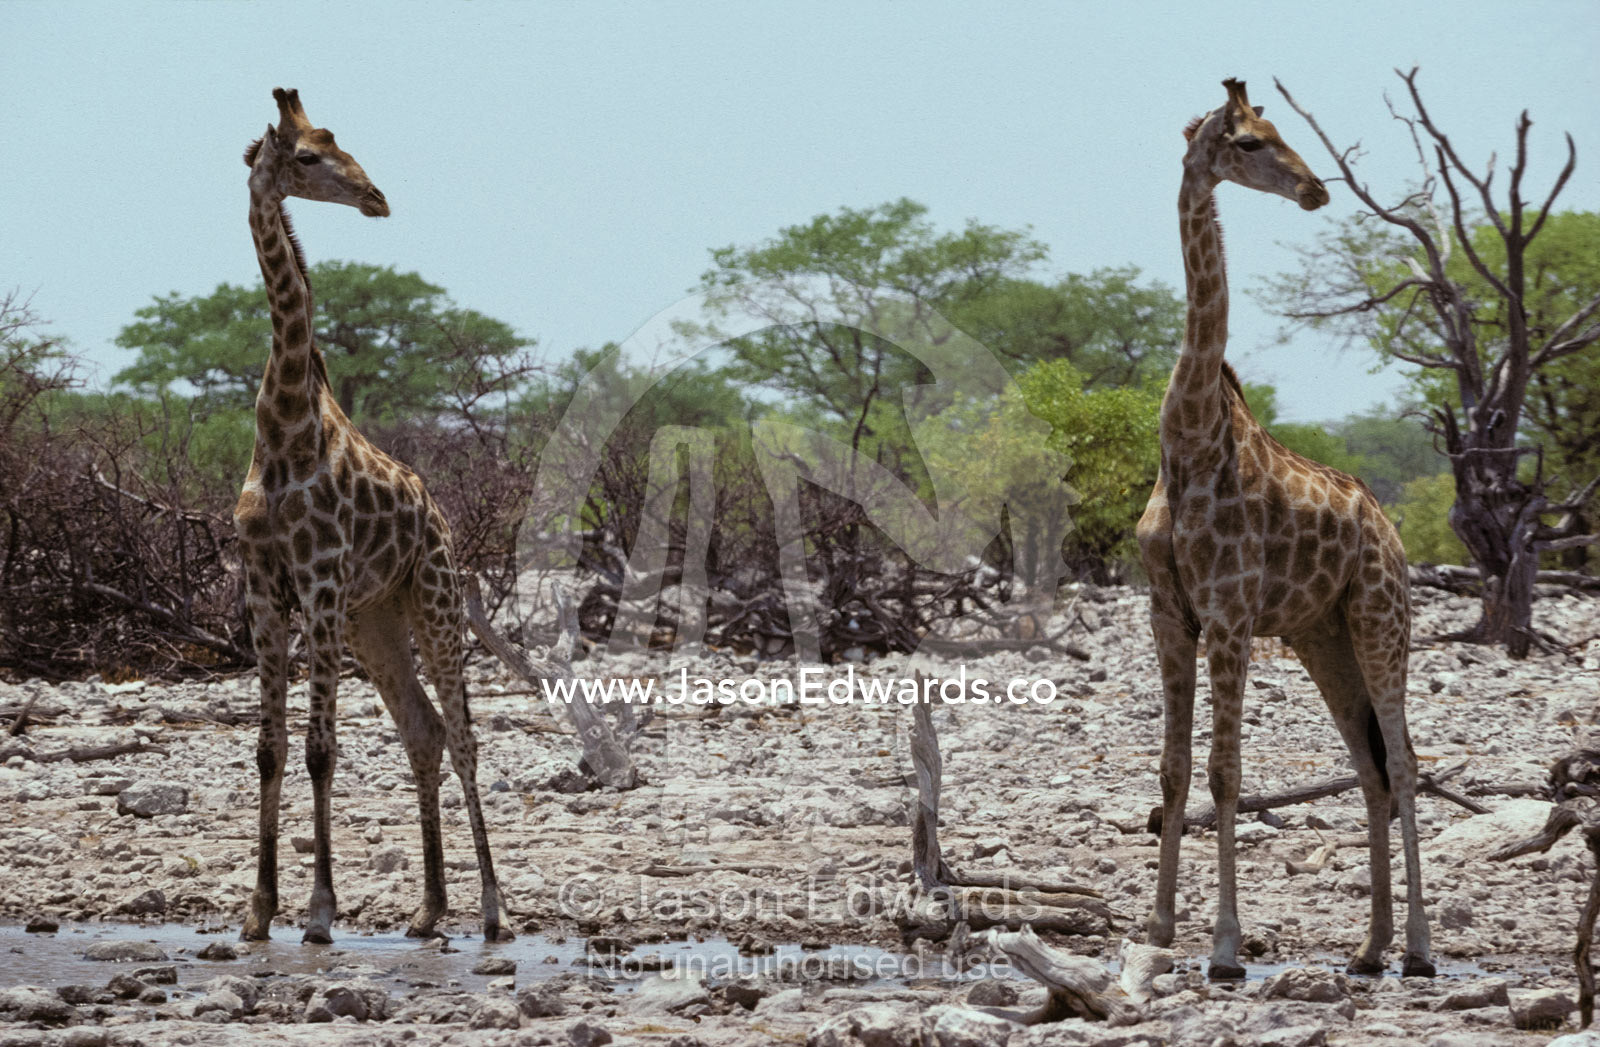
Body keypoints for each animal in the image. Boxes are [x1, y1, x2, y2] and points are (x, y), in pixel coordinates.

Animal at [233, 88, 508, 944]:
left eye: (337, 143)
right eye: (308, 155)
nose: (377, 197)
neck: (283, 426)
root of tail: (444, 518)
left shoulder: (320, 581)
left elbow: (321, 748)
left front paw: (320, 910)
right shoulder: (263, 586)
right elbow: (271, 748)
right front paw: (258, 910)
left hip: (434, 601)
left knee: (462, 736)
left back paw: (494, 909)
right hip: (374, 620)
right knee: (422, 730)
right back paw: (428, 908)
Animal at [1135, 79, 1434, 979]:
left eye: (1275, 131)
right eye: (1248, 141)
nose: (1316, 189)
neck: (1189, 442)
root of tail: (1389, 528)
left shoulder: (1230, 614)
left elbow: (1225, 773)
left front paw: (1227, 946)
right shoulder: (1170, 615)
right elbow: (1173, 770)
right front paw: (1158, 927)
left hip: (1379, 617)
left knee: (1406, 762)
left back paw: (1418, 948)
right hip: (1320, 635)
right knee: (1370, 767)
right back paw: (1369, 948)